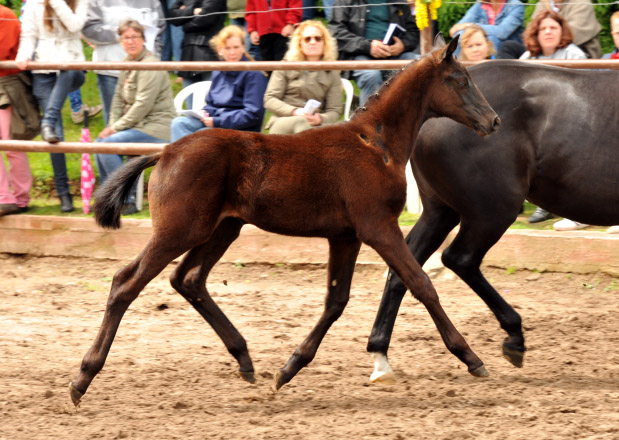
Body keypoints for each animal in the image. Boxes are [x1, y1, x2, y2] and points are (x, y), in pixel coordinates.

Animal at [368, 60, 619, 384]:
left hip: (441, 211)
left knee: (405, 270)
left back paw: (382, 356)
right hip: (493, 211)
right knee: (459, 258)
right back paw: (511, 339)